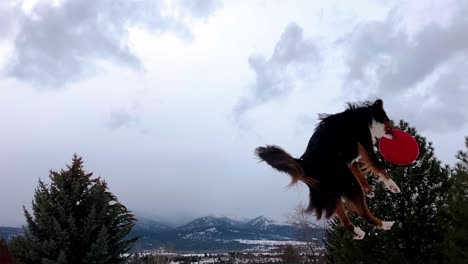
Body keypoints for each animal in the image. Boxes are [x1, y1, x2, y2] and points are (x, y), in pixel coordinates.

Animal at [254, 99, 400, 239]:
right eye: (388, 120)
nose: (395, 135)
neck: (365, 115)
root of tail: (305, 165)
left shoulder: (351, 160)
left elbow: (360, 174)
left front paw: (369, 190)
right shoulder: (364, 145)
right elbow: (378, 167)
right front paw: (392, 185)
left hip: (333, 191)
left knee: (344, 219)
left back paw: (358, 233)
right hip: (348, 183)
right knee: (363, 213)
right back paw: (385, 224)